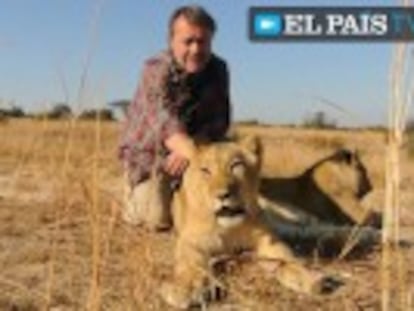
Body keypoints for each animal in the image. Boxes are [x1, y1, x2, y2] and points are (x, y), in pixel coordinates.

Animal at [159, 136, 340, 310]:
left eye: (235, 165)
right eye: (205, 170)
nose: (222, 195)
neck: (229, 229)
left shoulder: (268, 240)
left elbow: (288, 258)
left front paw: (308, 276)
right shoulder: (191, 240)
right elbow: (190, 263)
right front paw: (186, 288)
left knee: (311, 226)